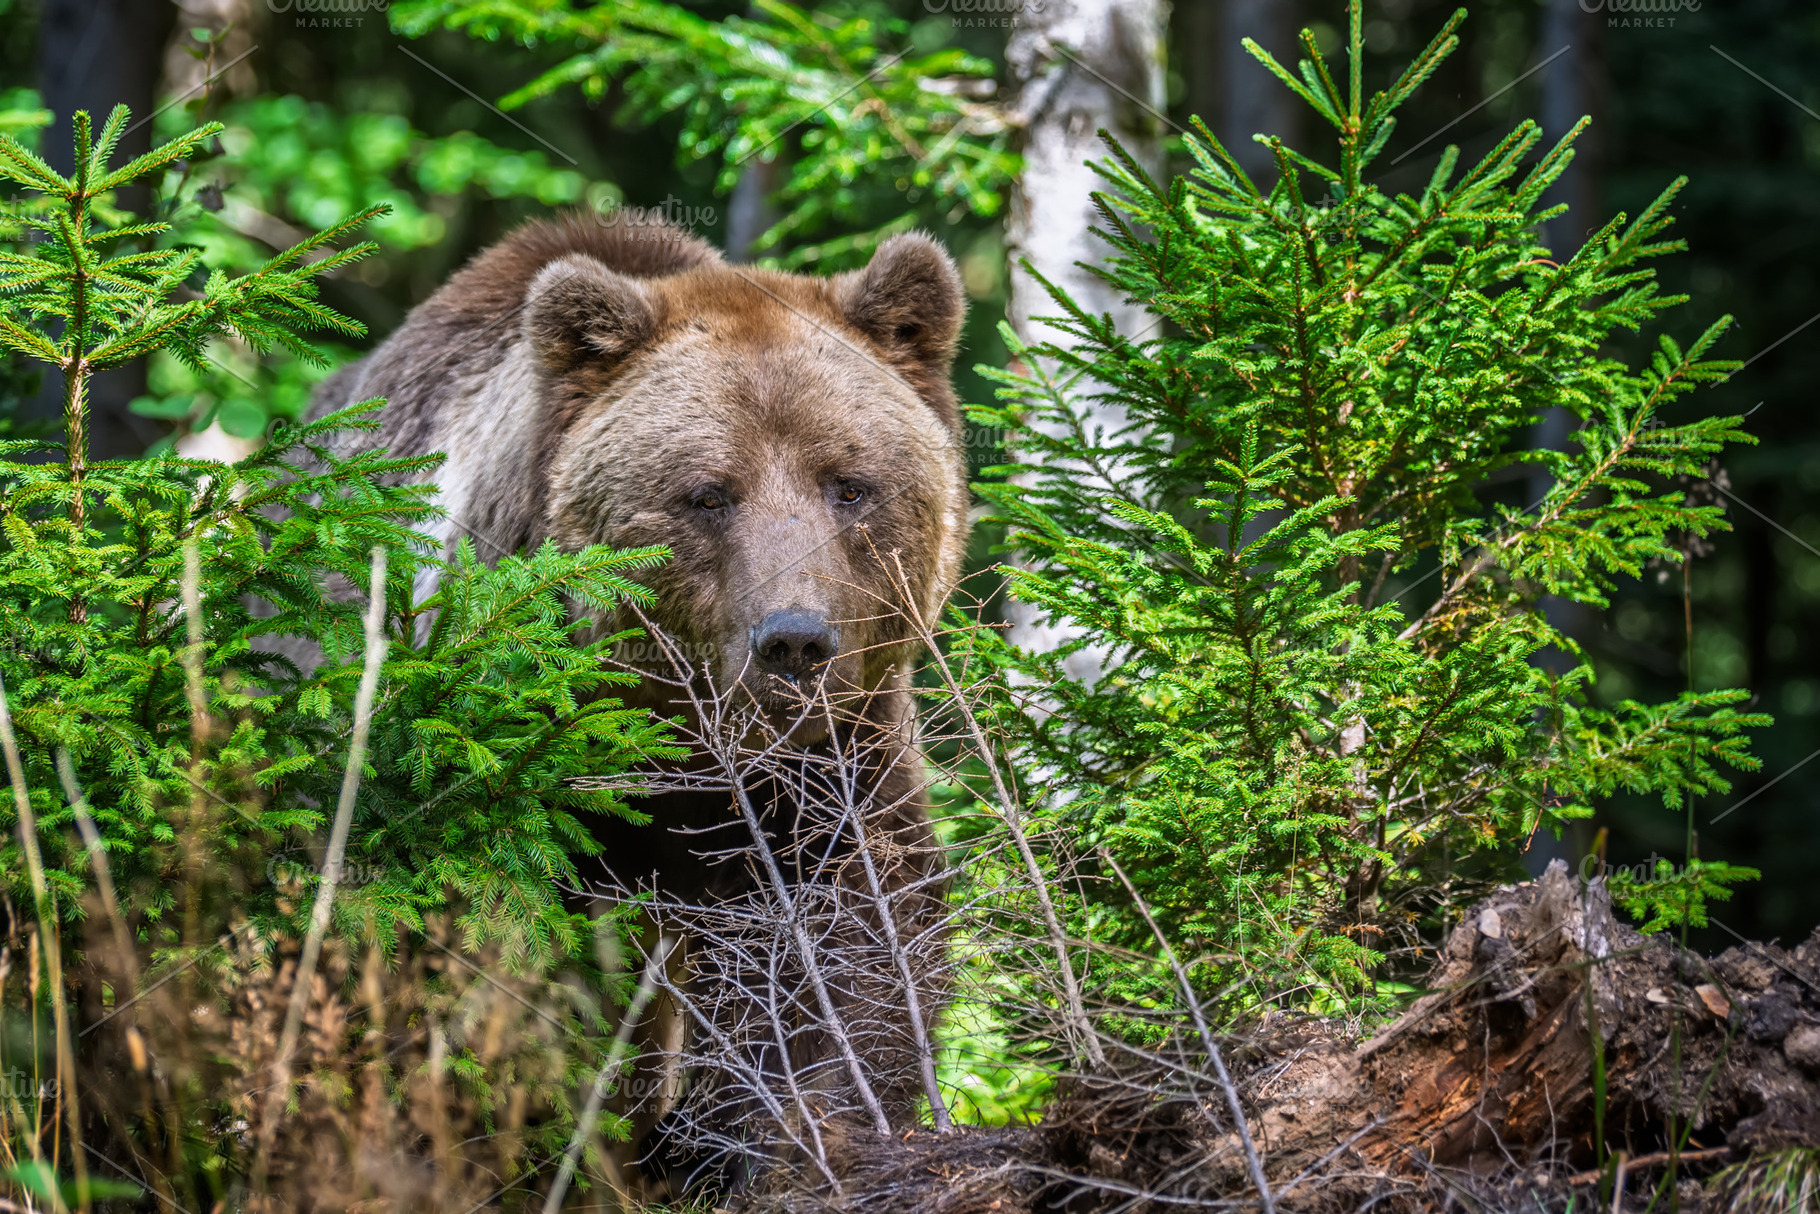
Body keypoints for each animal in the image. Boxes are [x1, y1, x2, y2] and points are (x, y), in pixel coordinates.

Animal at [308, 211, 970, 1189]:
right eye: (708, 494)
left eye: (850, 484)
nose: (794, 641)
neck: (677, 748)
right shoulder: (495, 769)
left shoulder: (840, 756)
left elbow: (852, 938)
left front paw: (796, 1130)